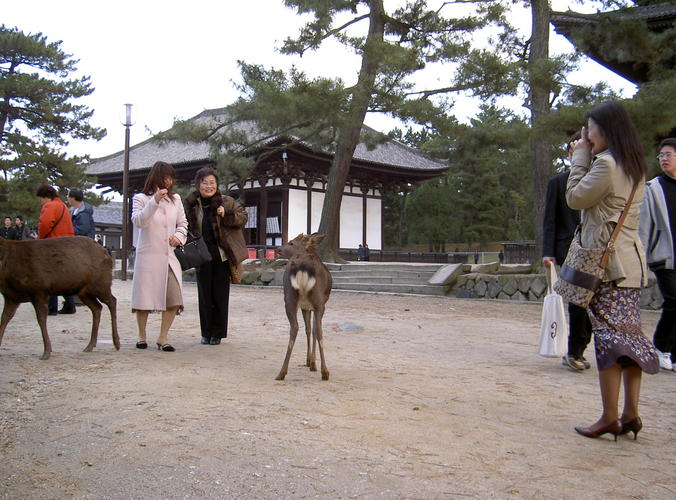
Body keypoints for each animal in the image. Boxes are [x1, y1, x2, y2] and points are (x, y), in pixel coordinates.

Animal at [274, 232, 332, 380]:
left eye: (291, 242)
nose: (277, 249)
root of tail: (302, 265)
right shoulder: (311, 306)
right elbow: (312, 330)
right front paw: (311, 363)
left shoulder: (305, 306)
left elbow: (308, 329)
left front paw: (310, 361)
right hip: (318, 301)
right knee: (319, 330)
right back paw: (325, 372)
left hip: (289, 297)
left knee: (294, 327)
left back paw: (282, 372)